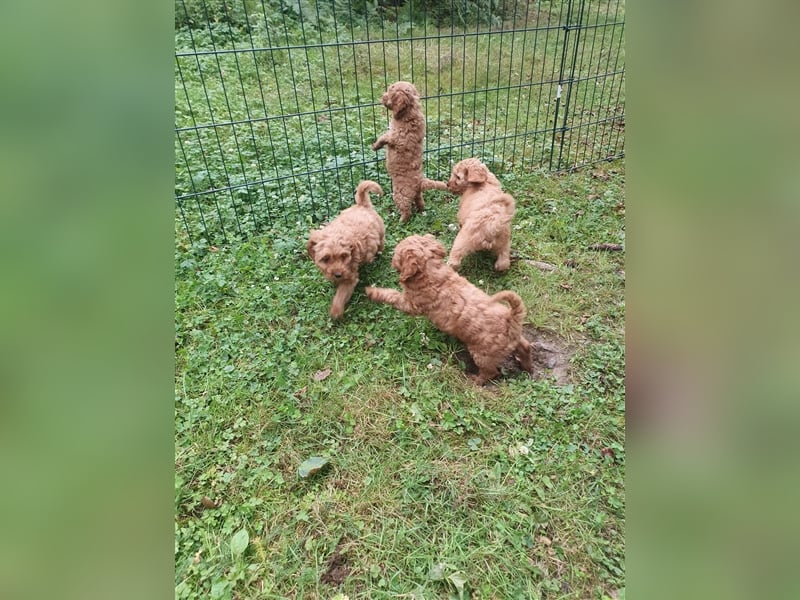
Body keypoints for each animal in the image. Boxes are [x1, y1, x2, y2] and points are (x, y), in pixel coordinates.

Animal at [308, 180, 386, 322]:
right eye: (325, 259)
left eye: (344, 256)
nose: (338, 274)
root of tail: (362, 204)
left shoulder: (350, 276)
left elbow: (341, 294)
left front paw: (336, 312)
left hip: (381, 233)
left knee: (380, 244)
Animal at [368, 232, 532, 386]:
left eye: (396, 254)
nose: (390, 258)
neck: (431, 271)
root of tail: (512, 318)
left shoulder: (412, 304)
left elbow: (393, 296)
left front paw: (372, 291)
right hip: (515, 339)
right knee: (526, 347)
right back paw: (527, 366)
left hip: (483, 354)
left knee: (491, 371)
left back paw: (475, 380)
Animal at [372, 79, 446, 220]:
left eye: (390, 91)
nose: (382, 96)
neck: (410, 111)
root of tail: (421, 182)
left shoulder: (397, 137)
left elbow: (384, 136)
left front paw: (375, 146)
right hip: (417, 194)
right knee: (420, 202)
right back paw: (421, 211)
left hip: (400, 194)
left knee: (407, 210)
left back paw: (401, 220)